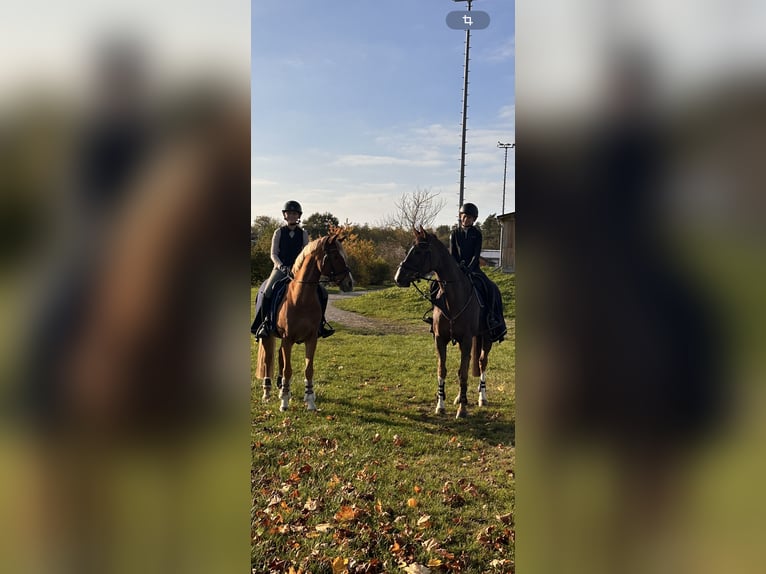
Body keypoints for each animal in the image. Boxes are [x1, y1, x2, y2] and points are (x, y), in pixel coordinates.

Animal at [258, 234, 354, 414]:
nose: (350, 283)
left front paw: (309, 401)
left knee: (280, 359)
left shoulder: (311, 339)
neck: (301, 298)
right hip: (268, 337)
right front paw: (284, 402)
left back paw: (281, 388)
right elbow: (288, 370)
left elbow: (308, 370)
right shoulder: (288, 338)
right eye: (335, 256)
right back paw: (267, 393)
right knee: (268, 361)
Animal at [392, 225, 496, 418]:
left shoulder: (466, 340)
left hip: (486, 338)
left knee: (482, 362)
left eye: (418, 251)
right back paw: (460, 397)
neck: (453, 298)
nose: (398, 278)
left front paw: (462, 409)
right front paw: (441, 405)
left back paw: (481, 397)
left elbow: (463, 373)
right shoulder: (440, 339)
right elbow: (443, 370)